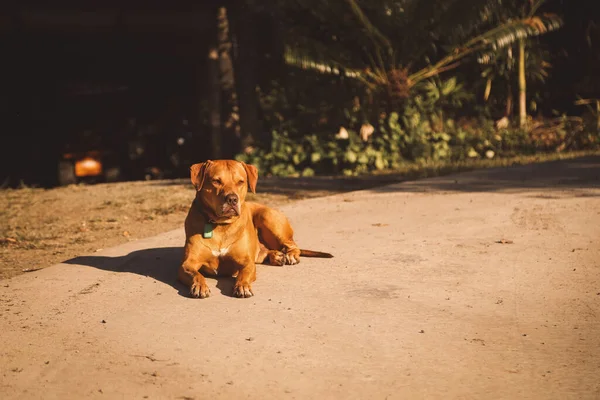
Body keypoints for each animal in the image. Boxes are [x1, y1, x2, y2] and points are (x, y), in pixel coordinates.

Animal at [180, 159, 336, 296]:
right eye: (216, 181)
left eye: (240, 182)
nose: (232, 199)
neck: (220, 225)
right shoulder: (187, 264)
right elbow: (196, 274)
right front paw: (200, 286)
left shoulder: (246, 263)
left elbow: (243, 275)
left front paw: (242, 286)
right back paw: (276, 256)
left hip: (266, 216)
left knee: (292, 245)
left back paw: (289, 255)